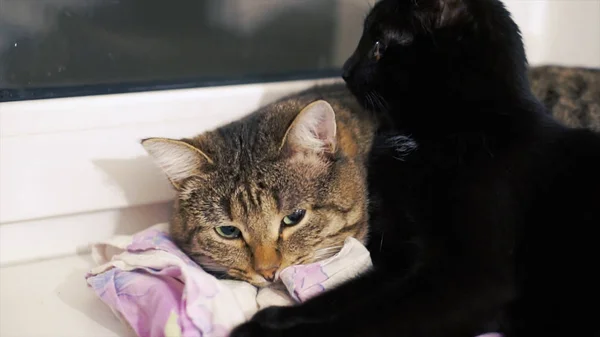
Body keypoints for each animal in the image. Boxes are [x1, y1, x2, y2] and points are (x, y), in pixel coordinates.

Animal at [231, 0, 600, 336]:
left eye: (378, 46)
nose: (346, 69)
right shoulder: (397, 258)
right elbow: (346, 295)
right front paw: (270, 320)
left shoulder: (474, 278)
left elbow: (370, 320)